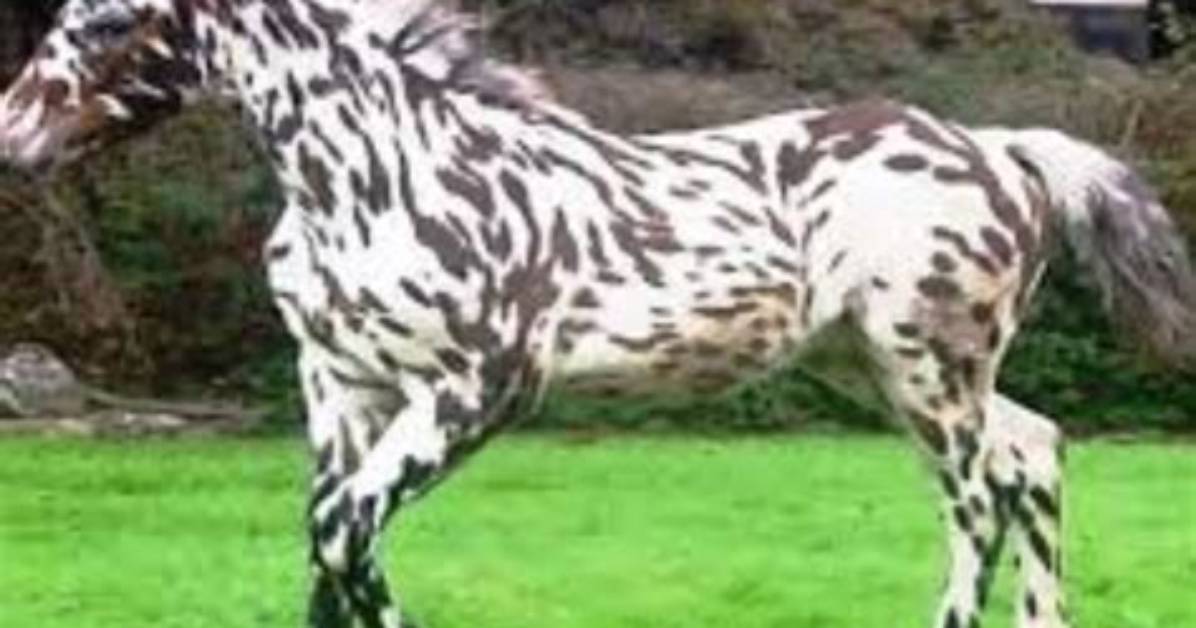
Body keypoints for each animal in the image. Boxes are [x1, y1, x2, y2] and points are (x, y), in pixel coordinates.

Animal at [2, 1, 1193, 627]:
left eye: (113, 19)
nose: (13, 136)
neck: (387, 171)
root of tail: (1001, 149)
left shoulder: (474, 391)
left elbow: (346, 536)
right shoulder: (340, 385)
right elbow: (325, 545)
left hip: (925, 367)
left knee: (975, 506)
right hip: (878, 366)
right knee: (1032, 451)